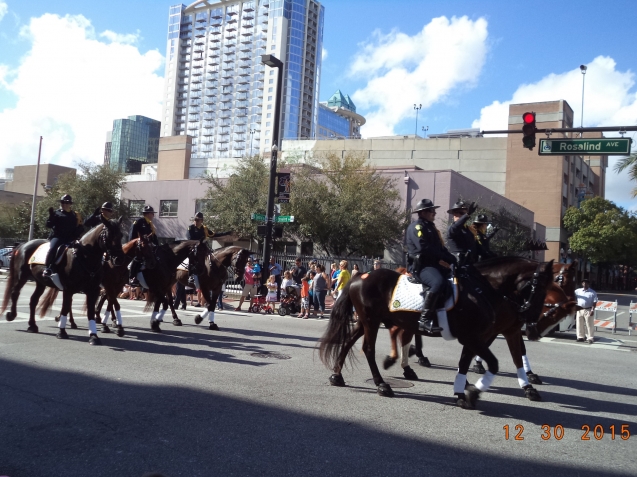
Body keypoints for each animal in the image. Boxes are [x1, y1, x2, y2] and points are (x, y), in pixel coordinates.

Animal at [316, 258, 552, 408]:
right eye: (539, 286)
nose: (531, 319)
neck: (482, 290)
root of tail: (359, 276)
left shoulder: (480, 336)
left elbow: (468, 363)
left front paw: (462, 392)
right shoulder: (474, 336)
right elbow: (493, 363)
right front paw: (473, 392)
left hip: (366, 322)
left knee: (349, 342)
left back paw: (337, 375)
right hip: (371, 321)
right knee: (368, 349)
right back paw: (382, 384)